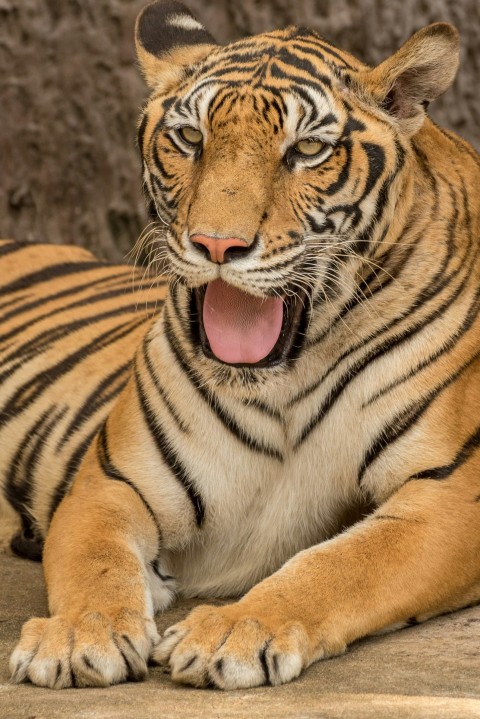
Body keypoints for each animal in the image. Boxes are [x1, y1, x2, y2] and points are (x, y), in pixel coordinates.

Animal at [4, 0, 480, 691]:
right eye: (190, 139)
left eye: (306, 150)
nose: (217, 244)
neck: (285, 382)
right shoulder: (113, 481)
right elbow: (95, 561)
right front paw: (77, 635)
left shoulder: (450, 495)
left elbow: (340, 566)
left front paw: (233, 631)